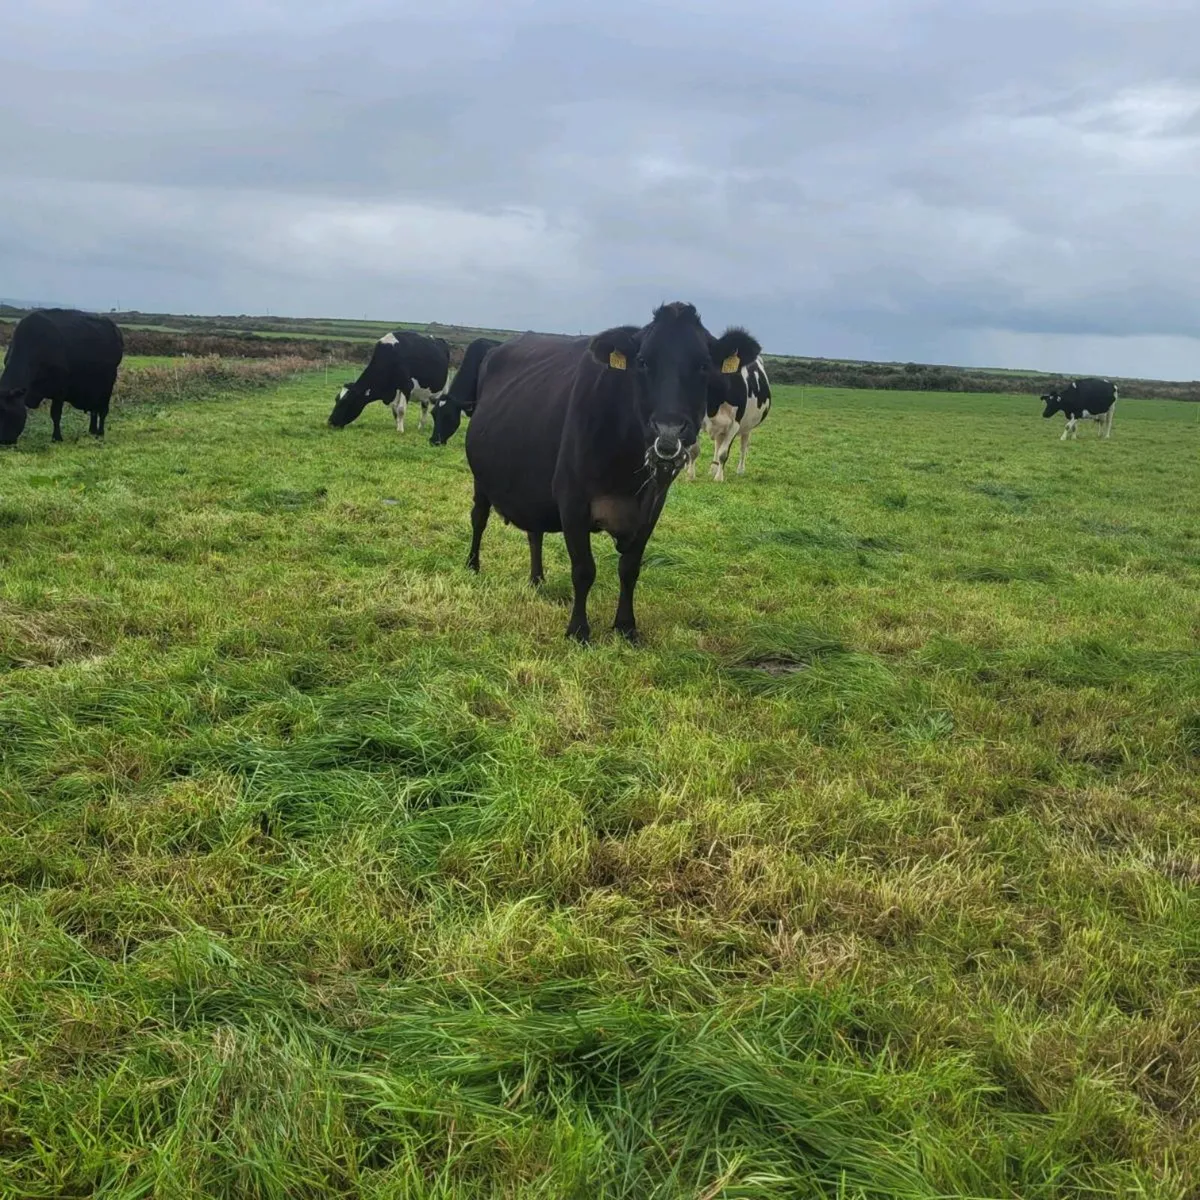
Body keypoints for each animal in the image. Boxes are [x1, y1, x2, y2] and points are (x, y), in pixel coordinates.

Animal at [0, 309, 124, 444]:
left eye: (5, 411)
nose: (3, 440)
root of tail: (115, 329)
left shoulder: (60, 390)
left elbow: (55, 414)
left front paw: (57, 437)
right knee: (94, 409)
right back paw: (92, 430)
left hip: (108, 384)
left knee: (103, 410)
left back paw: (100, 433)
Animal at [456, 302, 762, 643]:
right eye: (643, 362)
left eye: (704, 365)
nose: (668, 431)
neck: (625, 467)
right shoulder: (571, 501)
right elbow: (583, 569)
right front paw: (578, 629)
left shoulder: (653, 505)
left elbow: (630, 568)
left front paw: (626, 625)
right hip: (481, 479)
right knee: (479, 517)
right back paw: (473, 565)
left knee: (534, 532)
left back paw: (537, 579)